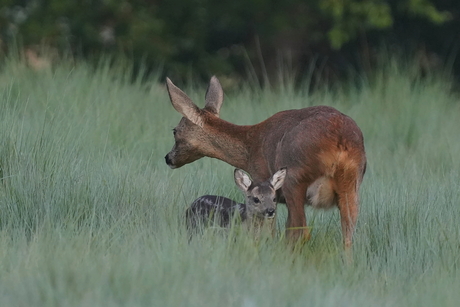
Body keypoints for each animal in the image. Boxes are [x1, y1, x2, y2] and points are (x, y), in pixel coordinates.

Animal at [164, 76, 366, 249]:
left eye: (175, 131)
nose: (168, 158)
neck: (249, 148)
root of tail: (341, 139)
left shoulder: (264, 181)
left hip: (295, 179)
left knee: (300, 232)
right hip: (352, 184)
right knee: (348, 235)